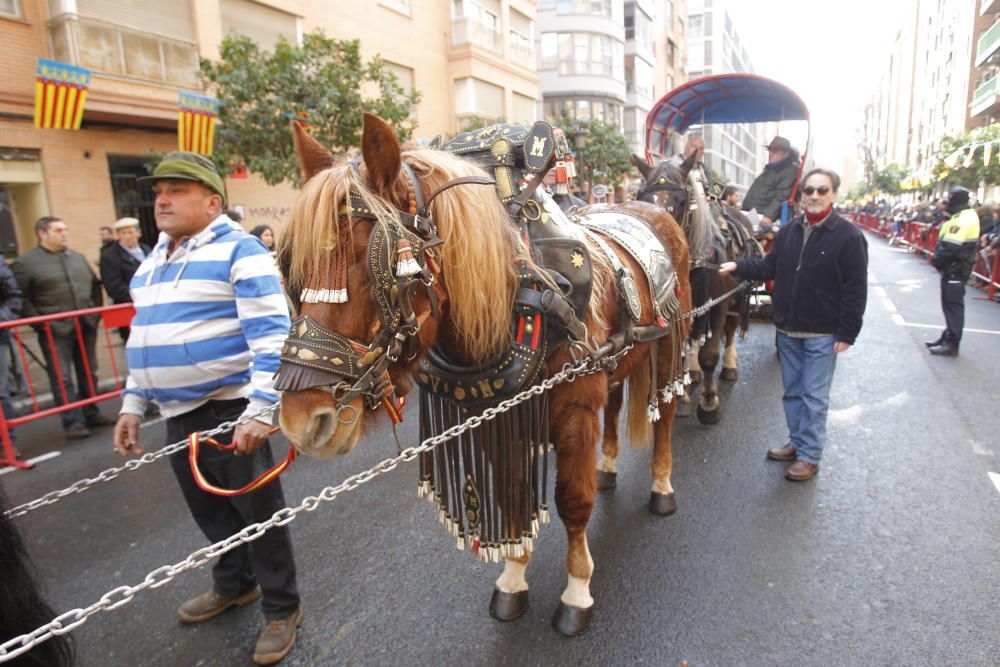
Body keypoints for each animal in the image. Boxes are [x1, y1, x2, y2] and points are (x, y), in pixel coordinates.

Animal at [278, 115, 692, 636]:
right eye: (290, 265)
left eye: (375, 262)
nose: (301, 421)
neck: (528, 293)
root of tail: (648, 207)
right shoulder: (498, 415)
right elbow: (512, 495)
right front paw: (513, 578)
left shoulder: (576, 410)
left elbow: (572, 501)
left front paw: (577, 591)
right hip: (620, 358)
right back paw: (610, 467)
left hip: (671, 339)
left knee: (666, 412)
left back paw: (662, 485)